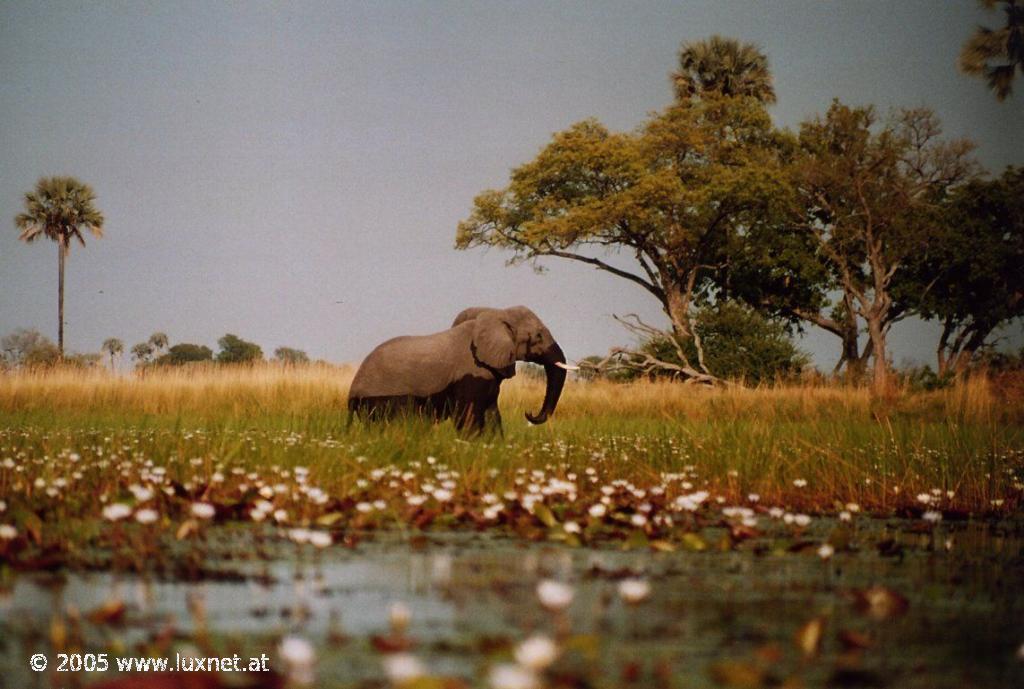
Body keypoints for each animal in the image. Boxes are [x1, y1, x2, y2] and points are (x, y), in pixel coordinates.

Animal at [348, 305, 577, 432]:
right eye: (537, 336)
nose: (528, 413)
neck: (495, 316)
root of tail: (353, 389)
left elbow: (492, 415)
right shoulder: (470, 374)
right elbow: (469, 417)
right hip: (383, 401)